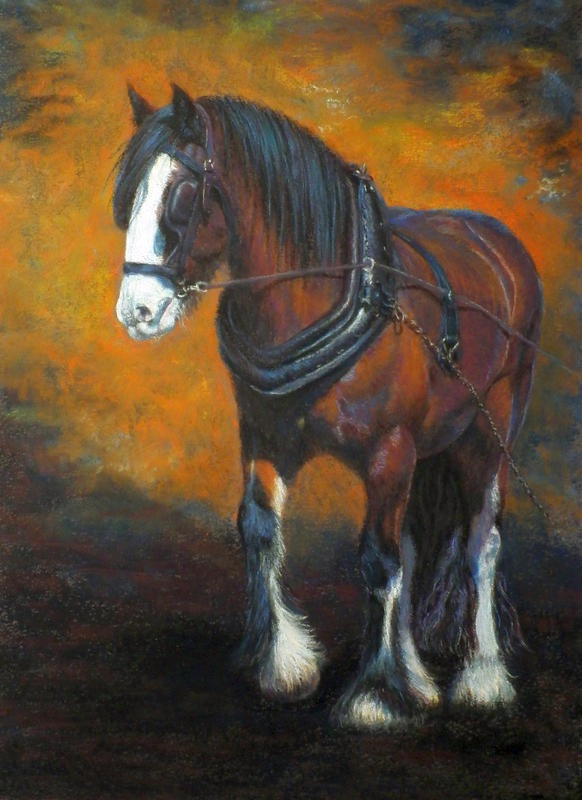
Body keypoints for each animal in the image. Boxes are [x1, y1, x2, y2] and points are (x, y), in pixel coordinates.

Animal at [113, 84, 542, 728]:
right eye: (129, 195)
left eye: (183, 194)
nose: (135, 310)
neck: (319, 295)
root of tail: (498, 241)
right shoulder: (266, 438)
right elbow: (261, 532)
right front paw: (283, 663)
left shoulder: (389, 453)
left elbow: (379, 562)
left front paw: (377, 693)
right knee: (416, 545)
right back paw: (419, 674)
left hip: (490, 430)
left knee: (480, 544)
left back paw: (483, 675)